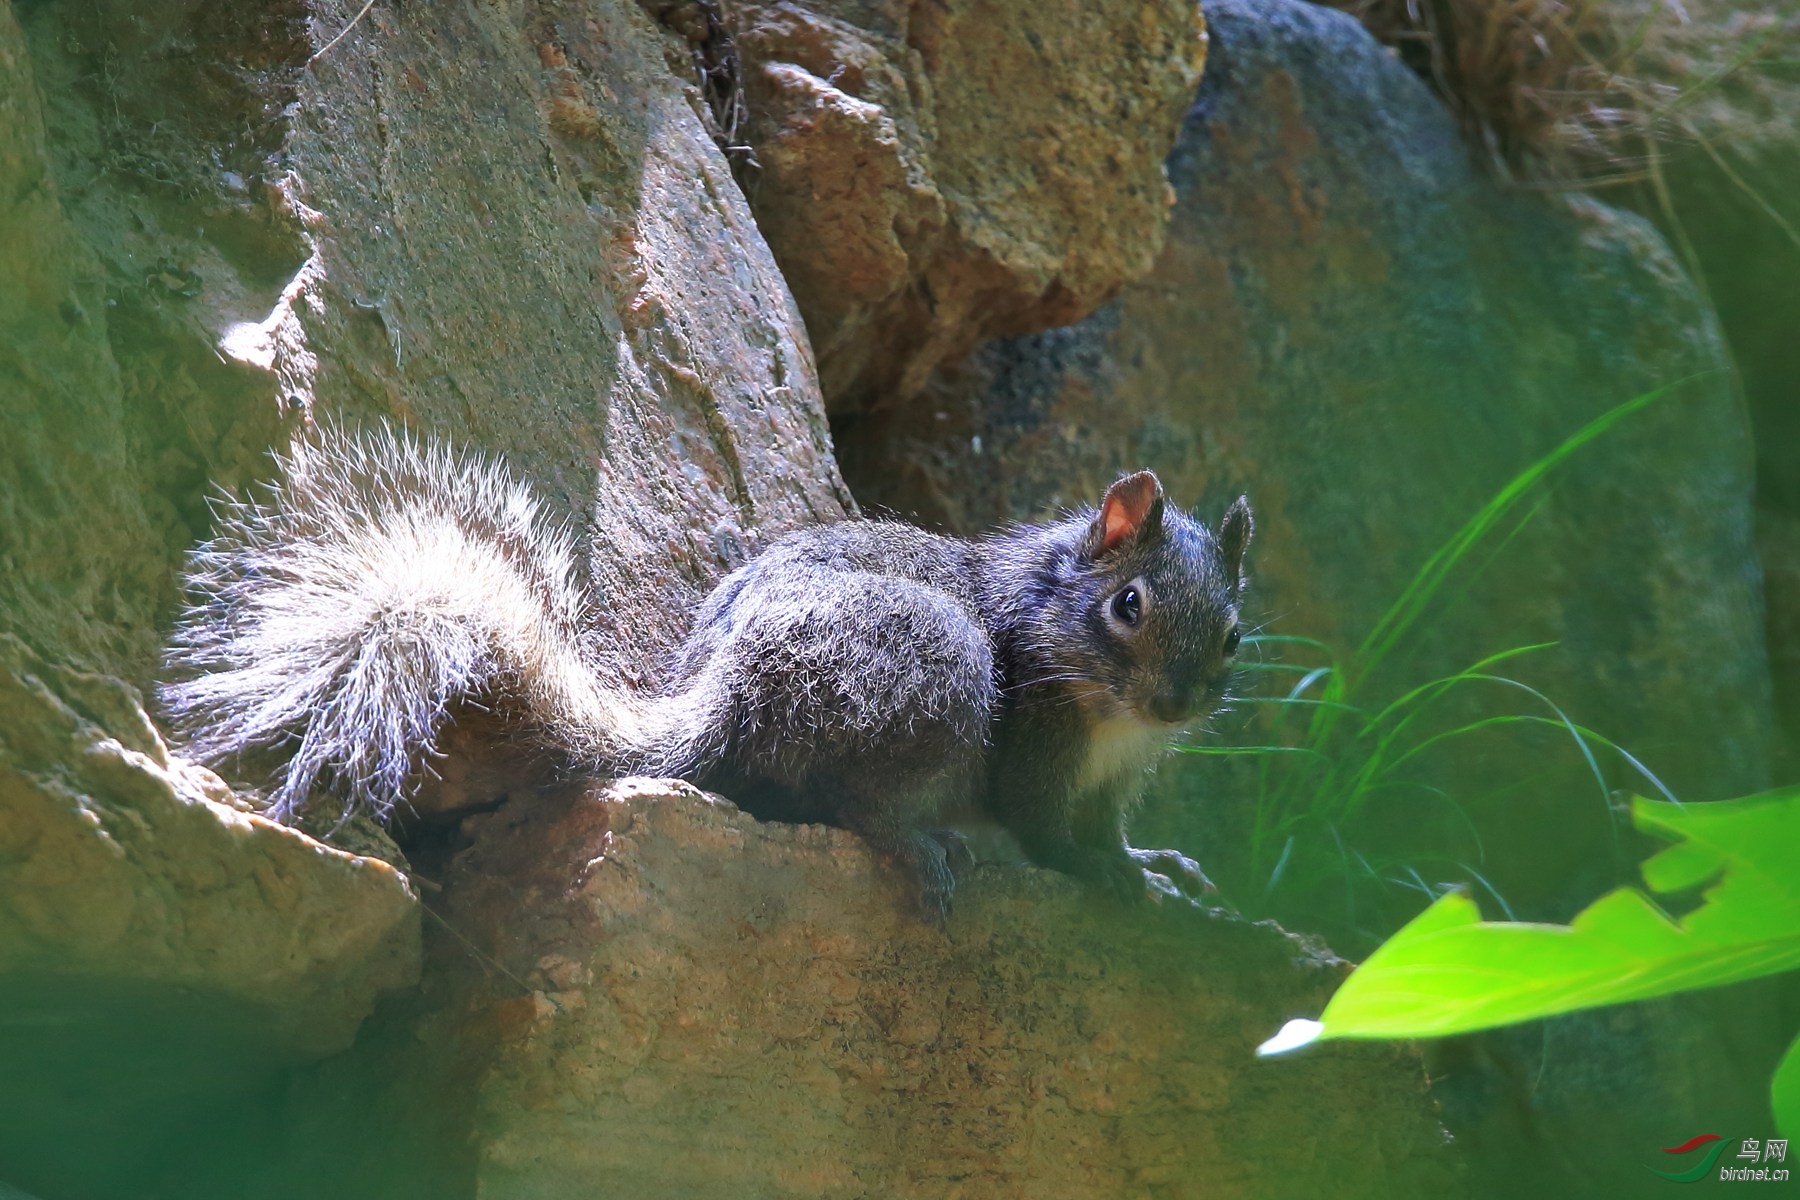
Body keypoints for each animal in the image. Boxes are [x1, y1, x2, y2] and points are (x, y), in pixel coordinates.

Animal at [162, 429, 1245, 921]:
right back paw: (921, 846)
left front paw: (1162, 864)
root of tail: (732, 699)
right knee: (847, 800)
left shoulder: (1114, 782)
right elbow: (1054, 837)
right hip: (933, 671)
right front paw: (1137, 885)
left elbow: (1106, 832)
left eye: (1235, 636)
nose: (1175, 703)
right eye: (1129, 606)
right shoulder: (1037, 747)